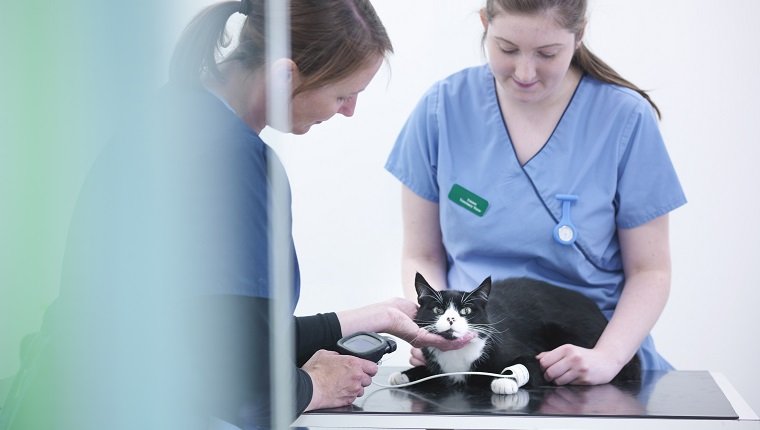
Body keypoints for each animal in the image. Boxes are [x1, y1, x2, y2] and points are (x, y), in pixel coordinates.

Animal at [392, 274, 640, 394]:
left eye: (466, 311)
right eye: (437, 310)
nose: (451, 319)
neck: (457, 354)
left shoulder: (521, 350)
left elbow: (527, 363)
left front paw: (505, 380)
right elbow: (430, 371)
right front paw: (404, 374)